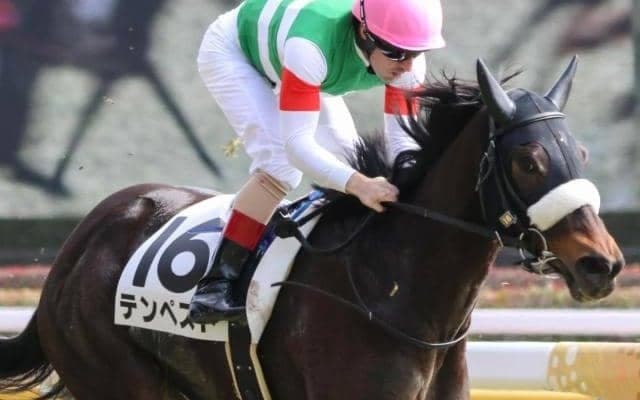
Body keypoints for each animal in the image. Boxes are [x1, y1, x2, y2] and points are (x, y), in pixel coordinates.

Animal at [0, 57, 624, 400]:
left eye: (581, 153)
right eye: (529, 162)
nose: (603, 263)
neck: (396, 292)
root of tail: (82, 239)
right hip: (114, 373)